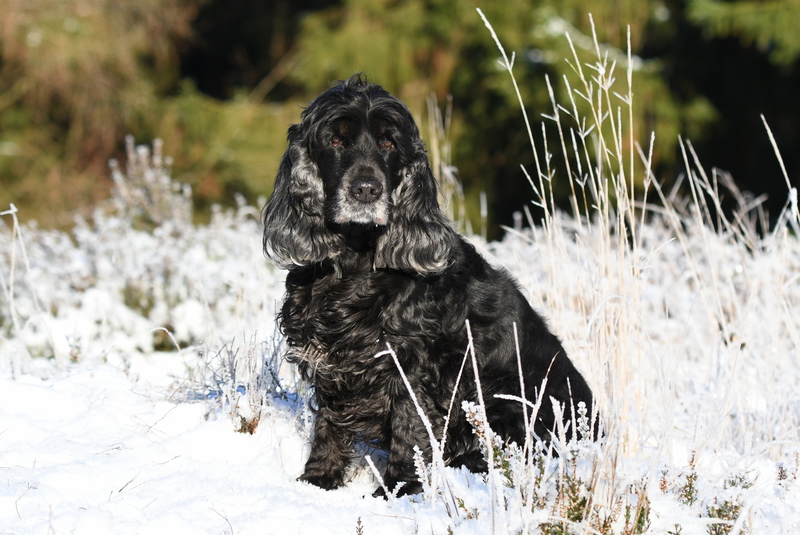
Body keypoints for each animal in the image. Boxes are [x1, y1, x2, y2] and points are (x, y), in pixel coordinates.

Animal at [262, 74, 594, 496]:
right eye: (335, 140)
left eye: (389, 143)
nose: (366, 189)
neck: (356, 260)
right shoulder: (332, 360)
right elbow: (329, 422)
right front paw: (318, 478)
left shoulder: (414, 361)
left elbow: (411, 423)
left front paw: (401, 488)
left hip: (505, 401)